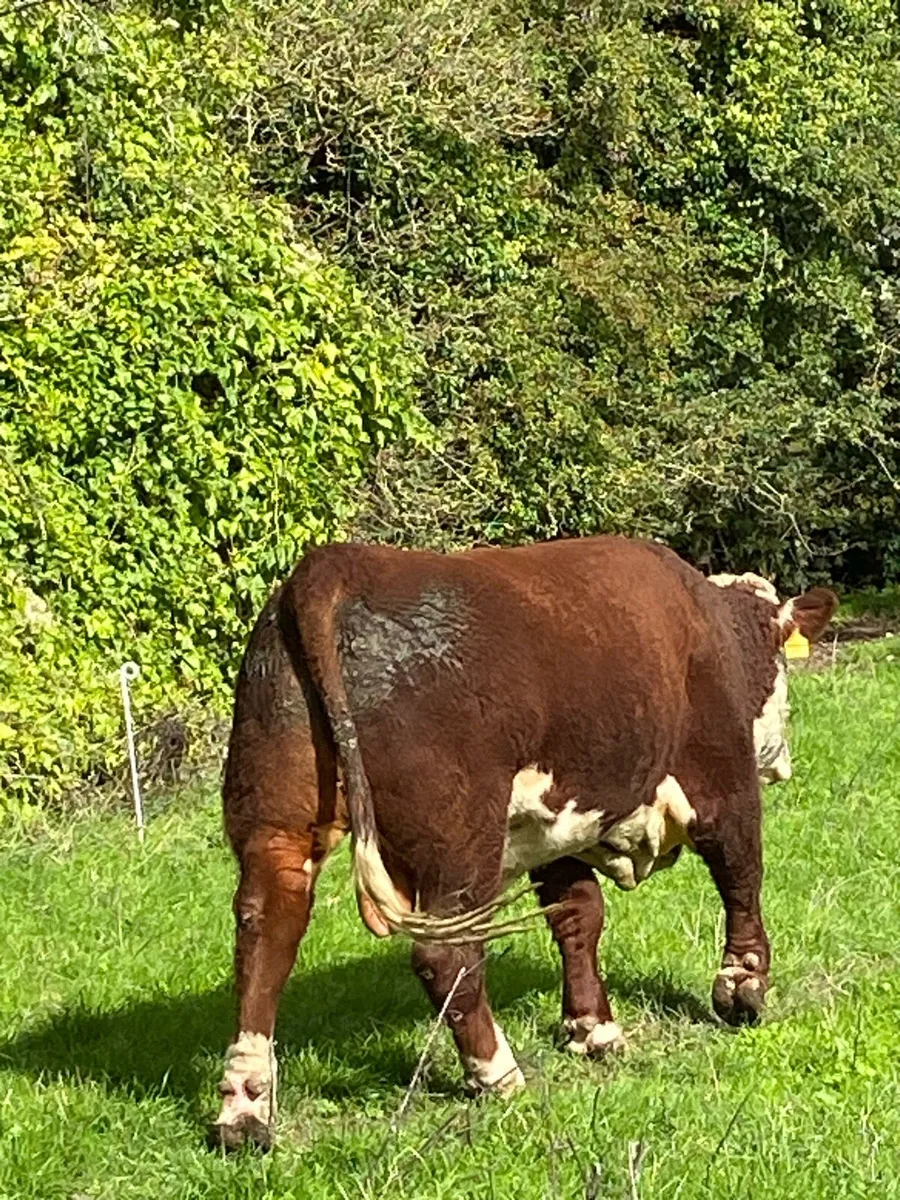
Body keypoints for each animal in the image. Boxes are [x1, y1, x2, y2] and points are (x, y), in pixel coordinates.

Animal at [211, 535, 837, 1148]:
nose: (782, 756)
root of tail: (337, 564)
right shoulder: (721, 776)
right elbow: (740, 874)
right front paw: (743, 987)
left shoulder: (553, 829)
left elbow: (579, 914)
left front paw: (593, 1028)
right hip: (460, 837)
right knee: (446, 954)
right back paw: (497, 1074)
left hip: (276, 816)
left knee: (267, 931)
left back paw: (245, 1110)